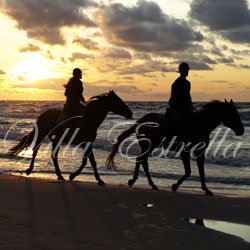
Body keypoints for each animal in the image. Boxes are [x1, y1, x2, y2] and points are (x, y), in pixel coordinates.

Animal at [106, 99, 244, 195]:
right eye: (234, 115)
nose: (241, 131)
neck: (199, 124)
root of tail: (140, 121)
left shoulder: (200, 151)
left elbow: (201, 171)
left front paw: (206, 190)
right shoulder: (185, 151)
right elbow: (188, 171)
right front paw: (175, 186)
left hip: (147, 145)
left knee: (141, 160)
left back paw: (138, 181)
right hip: (150, 145)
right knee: (142, 160)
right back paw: (148, 183)